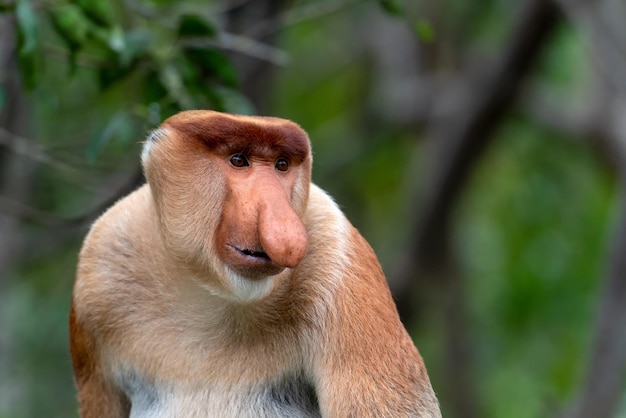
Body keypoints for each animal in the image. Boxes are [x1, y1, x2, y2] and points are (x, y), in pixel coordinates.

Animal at [69, 109, 438, 416]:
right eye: (238, 160)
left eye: (281, 165)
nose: (286, 231)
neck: (211, 293)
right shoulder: (101, 262)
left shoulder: (337, 255)